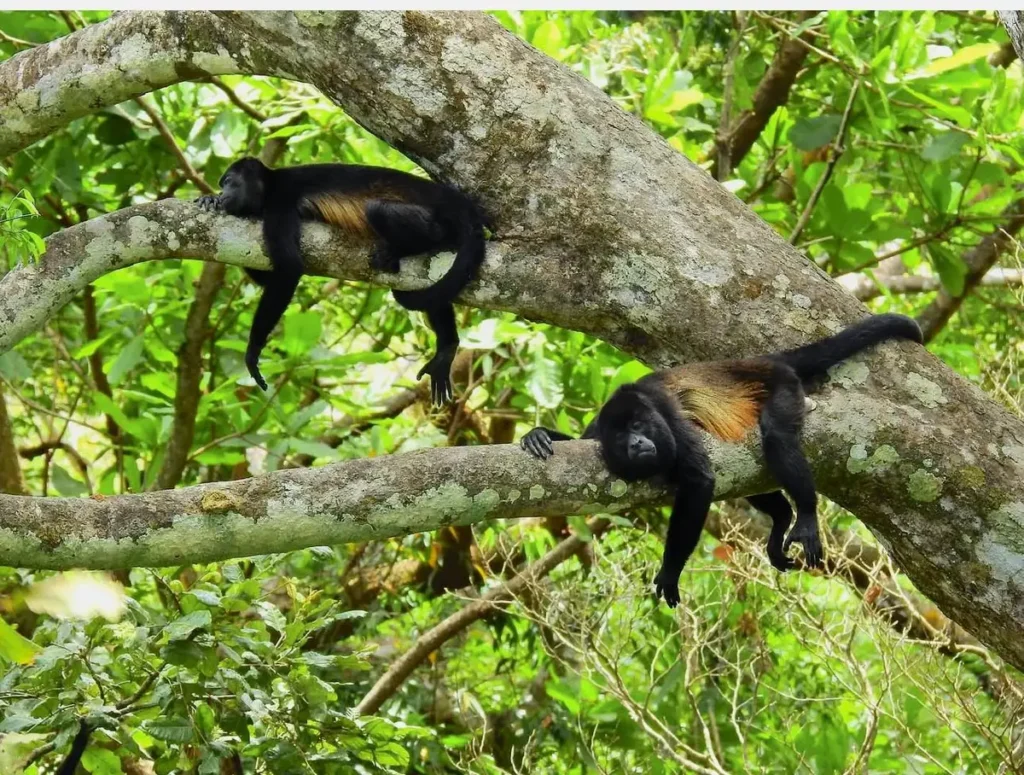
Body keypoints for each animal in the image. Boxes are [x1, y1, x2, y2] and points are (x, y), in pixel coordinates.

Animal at [197, 157, 487, 405]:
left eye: (229, 181)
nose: (223, 193)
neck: (269, 187)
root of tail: (456, 202)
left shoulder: (281, 202)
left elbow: (289, 267)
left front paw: (253, 351)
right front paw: (210, 200)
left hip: (436, 219)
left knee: (382, 211)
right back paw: (447, 348)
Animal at [521, 314, 922, 607]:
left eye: (638, 425)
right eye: (620, 439)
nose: (636, 442)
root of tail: (759, 360)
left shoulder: (666, 416)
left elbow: (700, 479)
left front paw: (670, 571)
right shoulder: (598, 431)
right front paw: (537, 436)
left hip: (782, 383)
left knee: (777, 437)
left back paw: (805, 514)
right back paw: (782, 517)